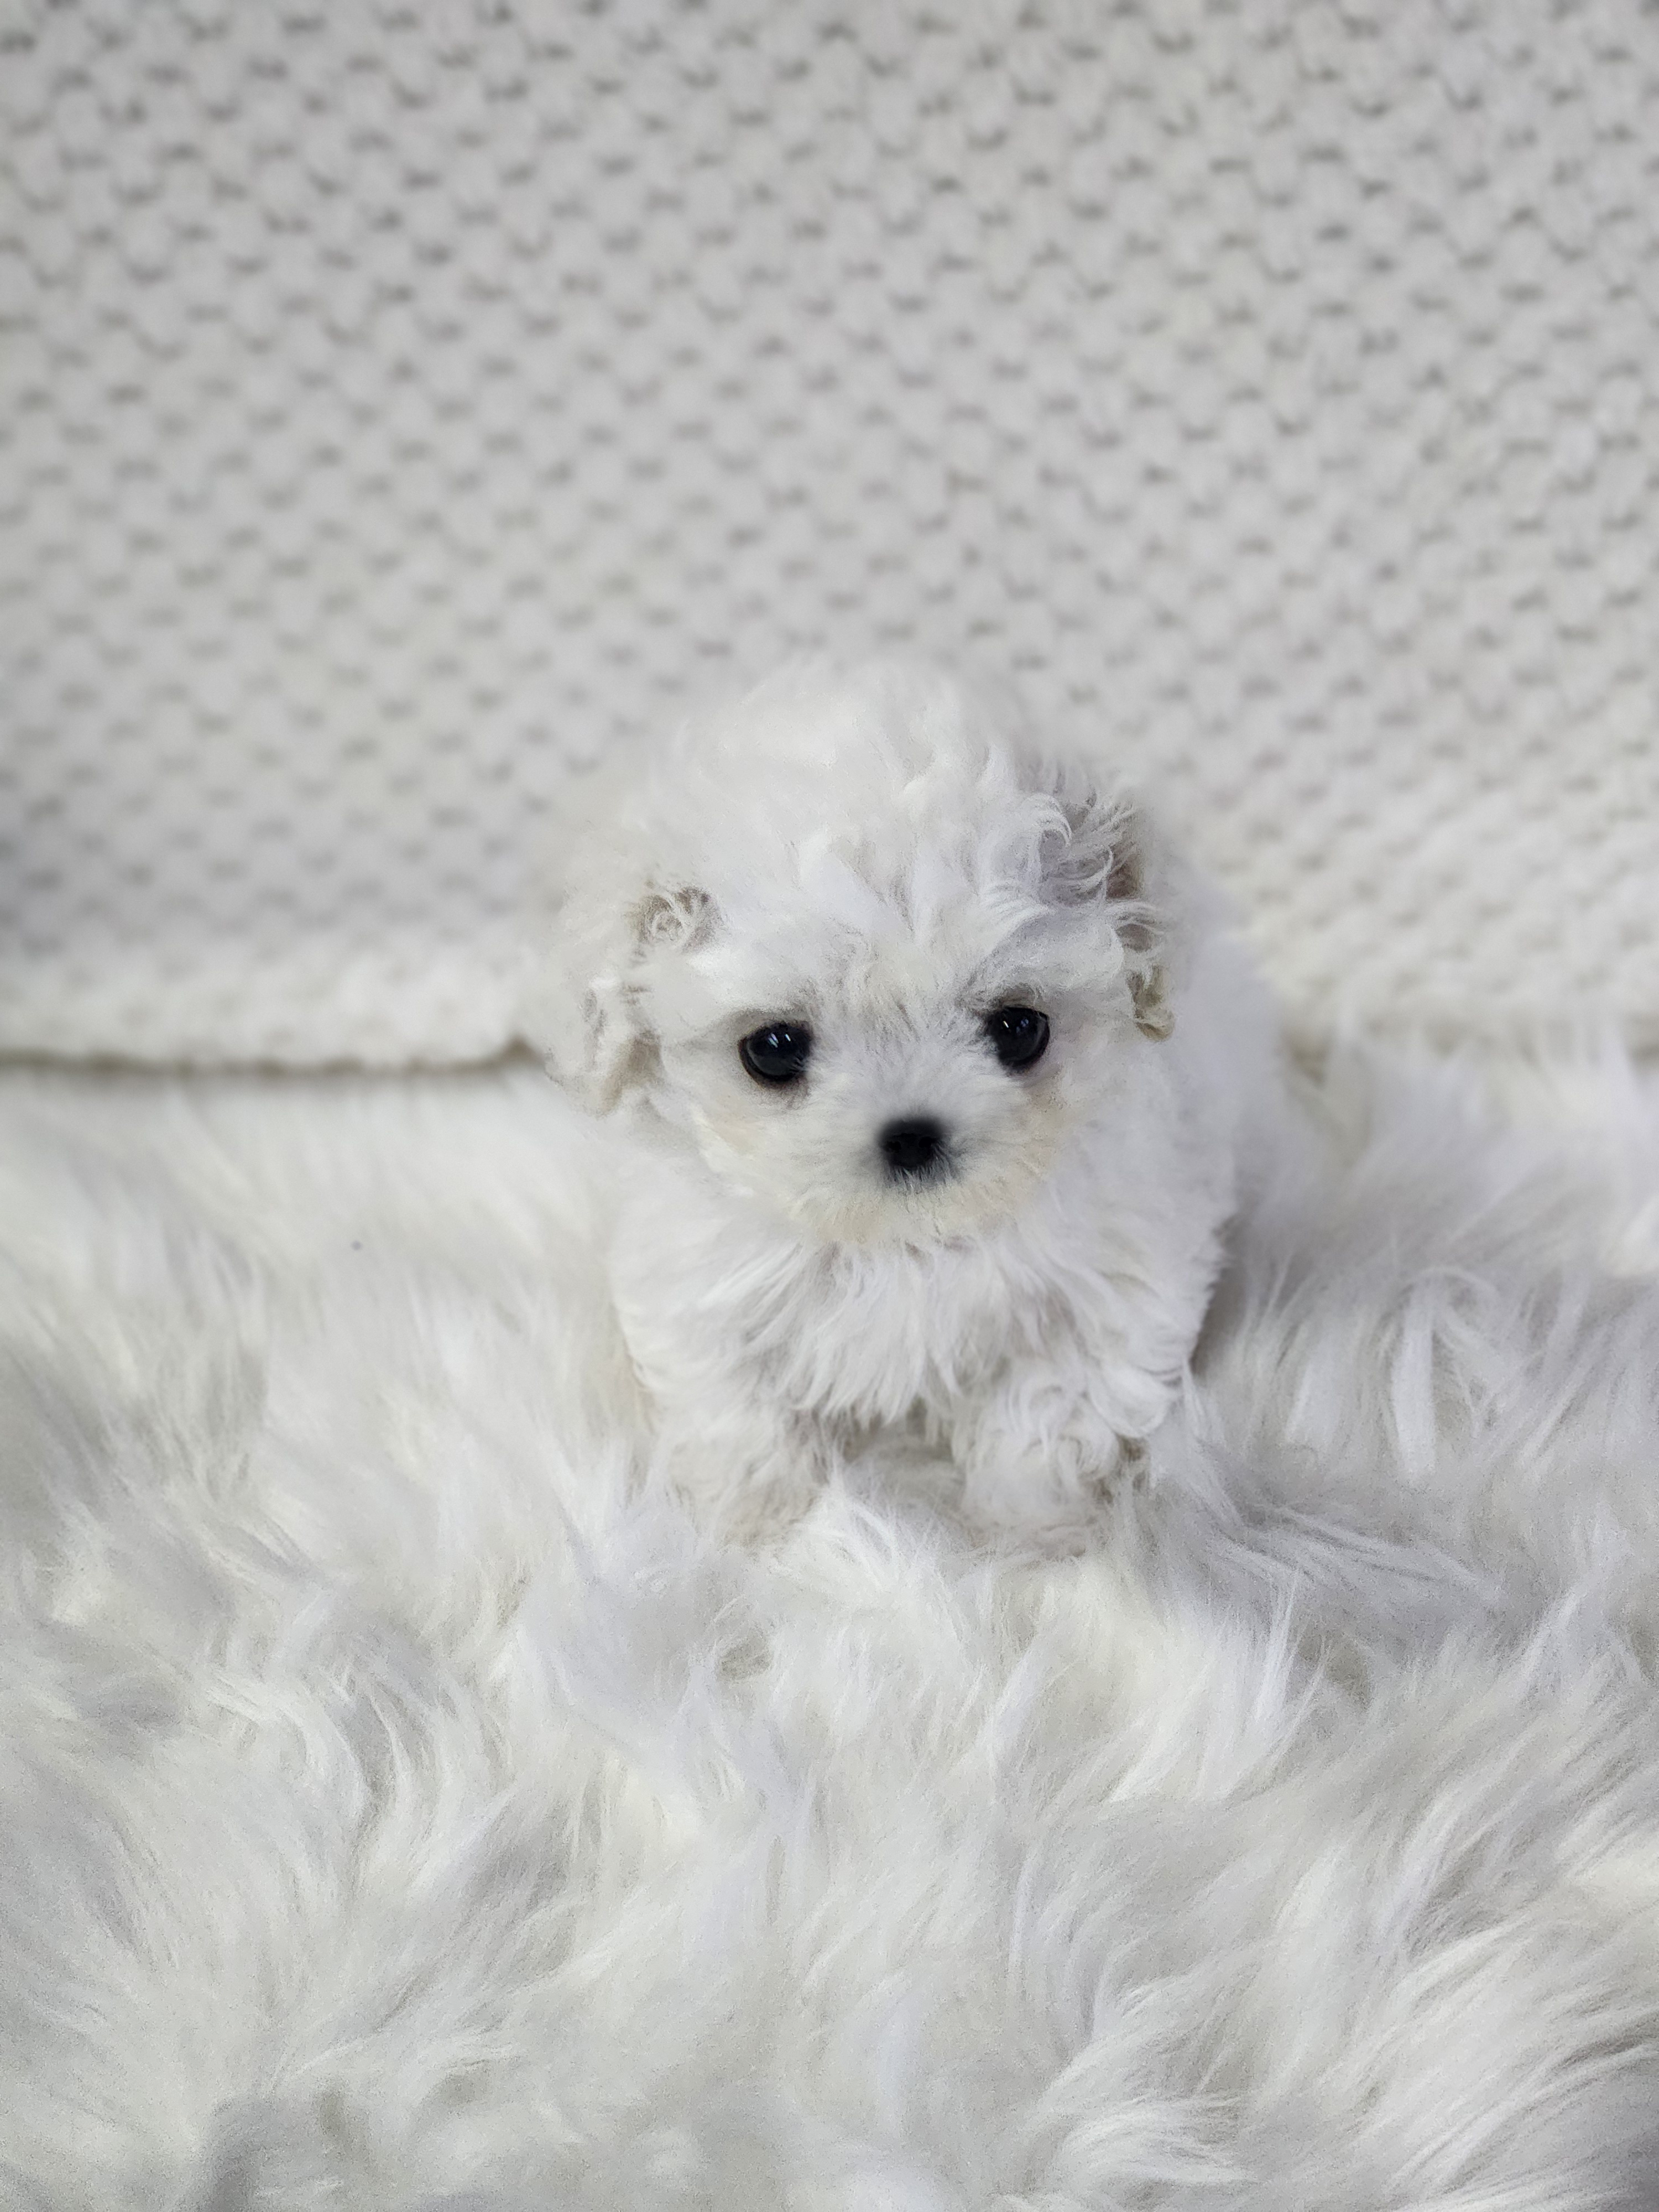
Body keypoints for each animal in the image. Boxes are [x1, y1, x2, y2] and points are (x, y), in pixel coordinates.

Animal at [531, 660, 1275, 1541]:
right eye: (773, 1050)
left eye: (1019, 1030)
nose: (913, 1136)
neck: (902, 1245)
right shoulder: (703, 1292)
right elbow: (737, 1412)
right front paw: (760, 1523)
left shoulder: (1113, 1288)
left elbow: (1050, 1410)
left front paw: (1026, 1530)